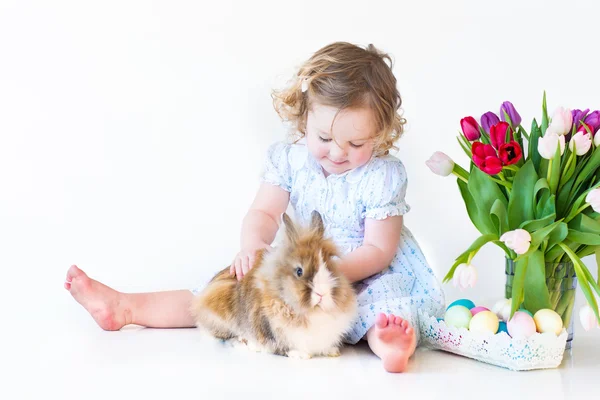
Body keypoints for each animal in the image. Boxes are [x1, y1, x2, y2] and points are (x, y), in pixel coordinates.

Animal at [191, 212, 356, 360]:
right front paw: (301, 354)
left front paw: (332, 351)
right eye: (299, 271)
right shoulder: (270, 329)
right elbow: (281, 346)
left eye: (329, 267)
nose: (322, 293)